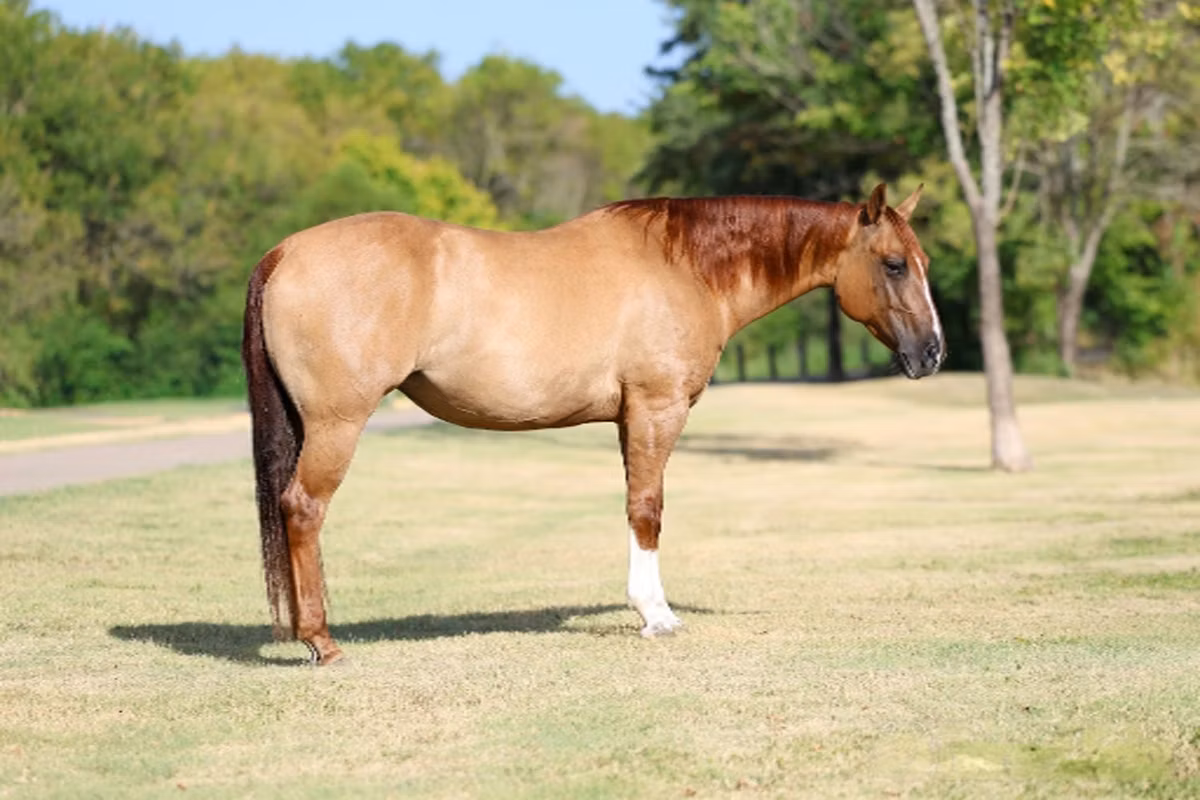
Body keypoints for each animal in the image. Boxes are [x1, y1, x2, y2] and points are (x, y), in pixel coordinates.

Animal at [242, 183, 944, 665]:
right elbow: (648, 510)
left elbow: (636, 504)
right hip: (336, 424)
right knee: (303, 508)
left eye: (923, 262)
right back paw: (323, 642)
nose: (934, 353)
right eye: (893, 264)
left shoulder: (629, 416)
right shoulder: (657, 408)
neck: (684, 267)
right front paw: (656, 615)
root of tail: (284, 251)